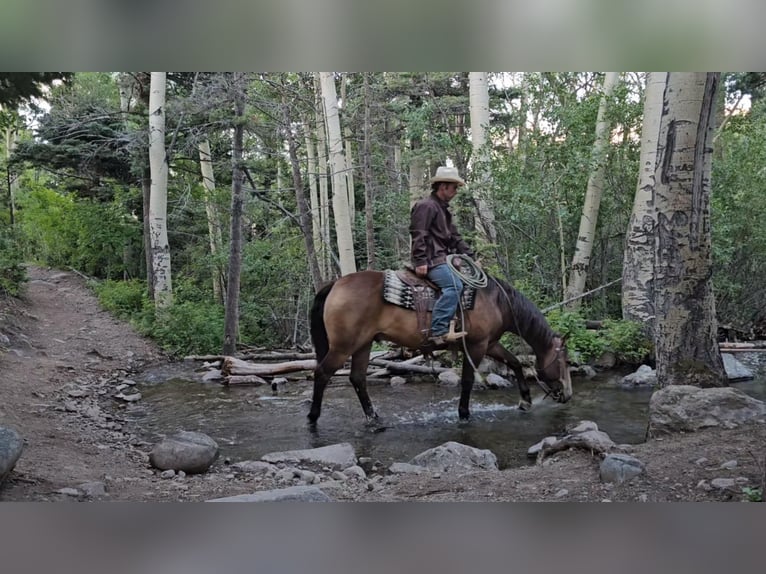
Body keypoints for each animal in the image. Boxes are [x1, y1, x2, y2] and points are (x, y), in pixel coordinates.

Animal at [308, 272, 572, 426]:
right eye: (566, 362)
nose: (568, 395)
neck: (497, 301)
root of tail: (335, 284)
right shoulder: (476, 346)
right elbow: (467, 380)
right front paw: (464, 414)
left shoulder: (490, 343)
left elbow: (515, 362)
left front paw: (525, 401)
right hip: (343, 346)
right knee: (322, 373)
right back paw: (312, 418)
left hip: (363, 344)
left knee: (357, 378)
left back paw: (374, 418)